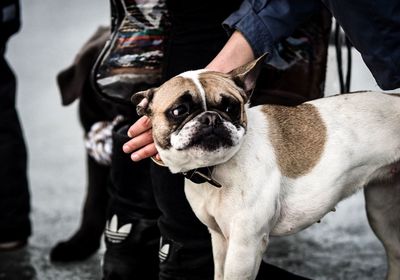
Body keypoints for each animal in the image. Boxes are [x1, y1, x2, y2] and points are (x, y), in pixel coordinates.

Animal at [131, 55, 400, 280]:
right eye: (179, 111)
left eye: (230, 107)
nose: (210, 118)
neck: (213, 168)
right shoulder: (220, 240)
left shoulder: (244, 247)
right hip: (382, 214)